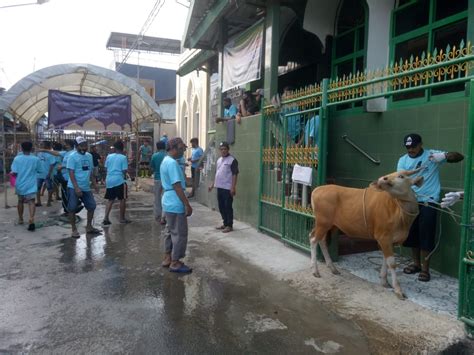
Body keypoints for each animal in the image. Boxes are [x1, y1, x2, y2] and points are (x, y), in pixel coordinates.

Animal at [312, 170, 422, 300]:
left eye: (401, 176)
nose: (383, 178)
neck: (398, 213)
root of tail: (317, 190)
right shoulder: (383, 238)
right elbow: (391, 263)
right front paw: (398, 290)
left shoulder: (389, 241)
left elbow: (385, 259)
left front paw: (384, 281)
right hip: (322, 223)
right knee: (313, 239)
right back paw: (315, 271)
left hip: (330, 226)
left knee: (321, 240)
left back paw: (332, 268)